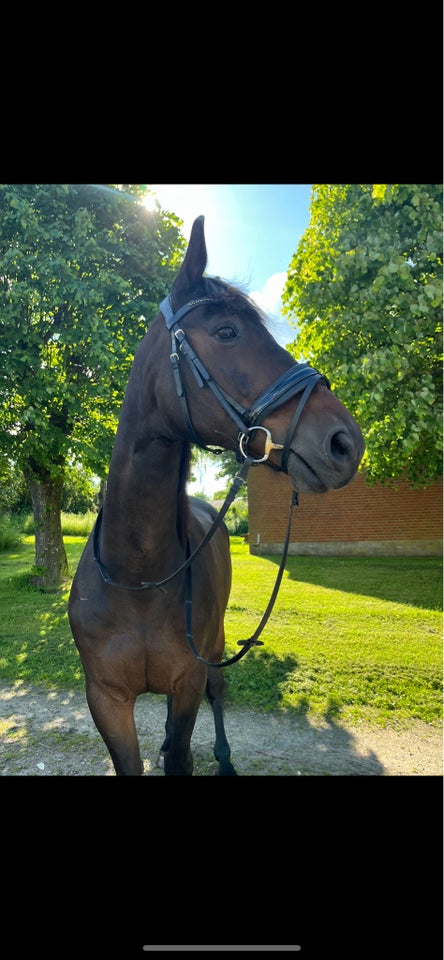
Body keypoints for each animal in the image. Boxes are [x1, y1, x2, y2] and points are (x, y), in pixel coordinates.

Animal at [68, 216, 364, 772]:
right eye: (226, 331)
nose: (346, 442)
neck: (136, 577)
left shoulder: (188, 679)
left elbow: (186, 743)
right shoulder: (106, 701)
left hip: (217, 650)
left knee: (219, 693)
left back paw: (224, 757)